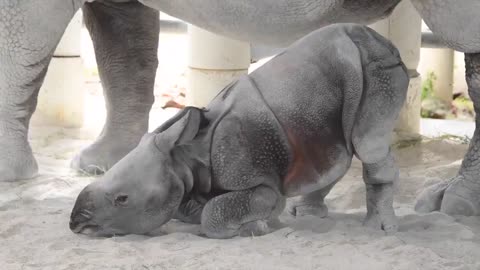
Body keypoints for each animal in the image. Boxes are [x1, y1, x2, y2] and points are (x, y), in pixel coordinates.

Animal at [70, 23, 408, 238]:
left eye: (122, 199)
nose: (75, 224)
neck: (189, 156)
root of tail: (383, 41)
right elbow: (189, 208)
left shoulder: (258, 180)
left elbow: (217, 213)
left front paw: (258, 226)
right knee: (338, 146)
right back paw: (308, 214)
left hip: (379, 69)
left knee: (367, 144)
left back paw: (378, 230)